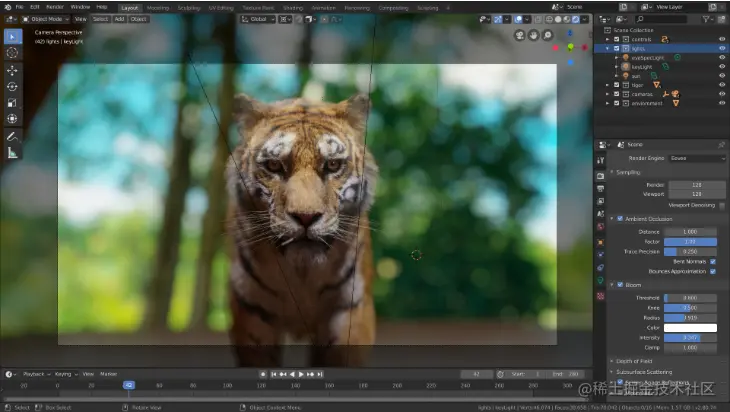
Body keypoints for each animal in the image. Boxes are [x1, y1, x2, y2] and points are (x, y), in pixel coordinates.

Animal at [225, 93, 378, 367]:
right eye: (274, 165)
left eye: (332, 165)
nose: (306, 217)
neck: (302, 274)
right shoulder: (252, 314)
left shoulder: (349, 312)